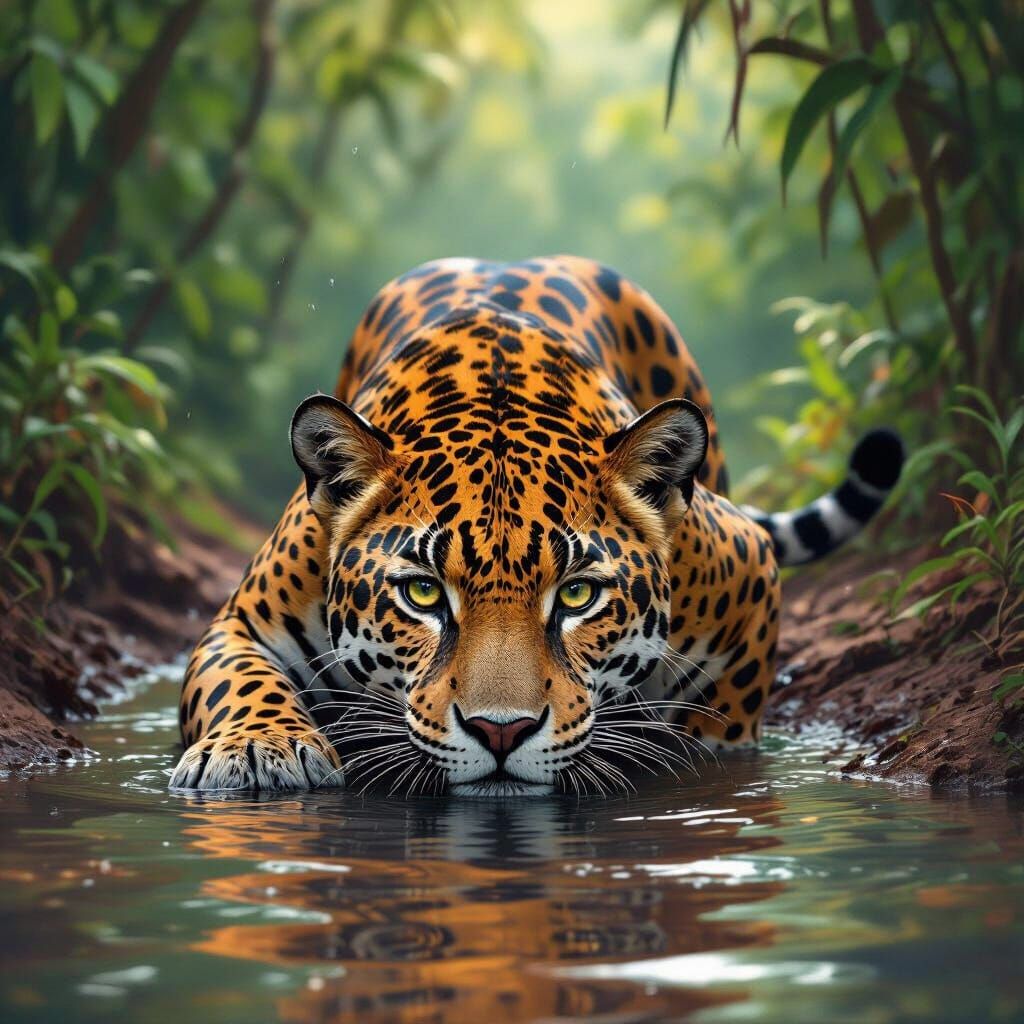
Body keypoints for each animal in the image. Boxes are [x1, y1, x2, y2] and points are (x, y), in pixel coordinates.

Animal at [169, 255, 903, 795]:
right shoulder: (242, 620)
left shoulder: (746, 572)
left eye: (577, 595)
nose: (501, 732)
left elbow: (718, 733)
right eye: (423, 593)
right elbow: (239, 681)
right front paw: (258, 748)